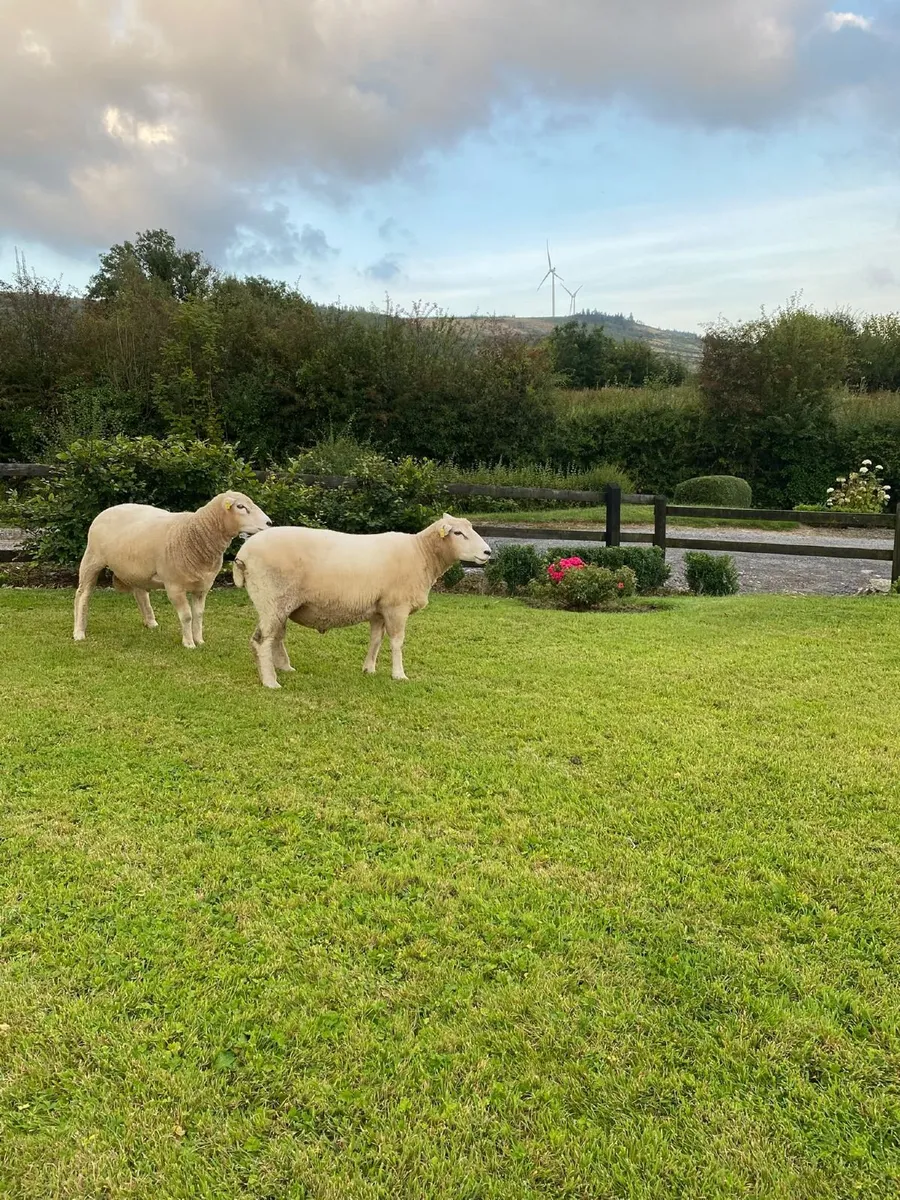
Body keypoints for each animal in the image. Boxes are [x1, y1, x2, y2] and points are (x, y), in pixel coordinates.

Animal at [73, 491, 271, 648]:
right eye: (240, 506)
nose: (269, 523)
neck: (196, 534)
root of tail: (108, 509)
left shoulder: (203, 587)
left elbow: (199, 615)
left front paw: (199, 640)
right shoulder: (174, 586)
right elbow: (187, 616)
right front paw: (189, 643)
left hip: (136, 568)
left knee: (140, 593)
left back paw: (151, 622)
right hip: (92, 558)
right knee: (82, 594)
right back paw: (79, 632)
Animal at [232, 513, 491, 688]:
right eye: (458, 533)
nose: (488, 552)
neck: (422, 554)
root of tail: (242, 554)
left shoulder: (379, 609)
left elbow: (376, 640)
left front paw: (369, 669)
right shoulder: (396, 607)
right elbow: (397, 642)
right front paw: (399, 675)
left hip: (278, 604)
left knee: (275, 637)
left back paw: (284, 667)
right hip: (272, 599)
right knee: (261, 641)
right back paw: (270, 681)